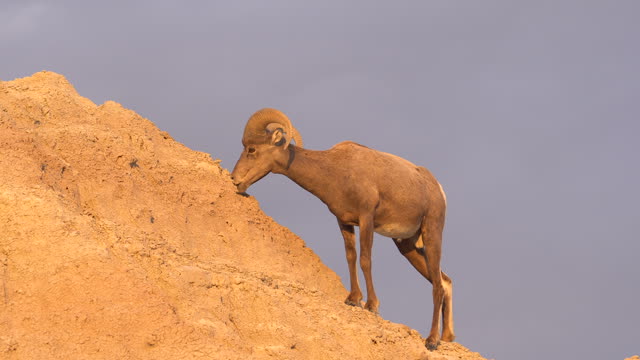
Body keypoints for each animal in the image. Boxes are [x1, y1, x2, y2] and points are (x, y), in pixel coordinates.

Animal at [230, 107, 456, 348]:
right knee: (444, 281)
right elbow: (351, 256)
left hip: (432, 233)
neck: (336, 171)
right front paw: (353, 300)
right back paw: (446, 337)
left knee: (437, 285)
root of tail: (436, 188)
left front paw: (372, 305)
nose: (235, 179)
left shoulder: (366, 218)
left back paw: (432, 341)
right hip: (408, 246)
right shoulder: (344, 222)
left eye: (252, 149)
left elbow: (365, 260)